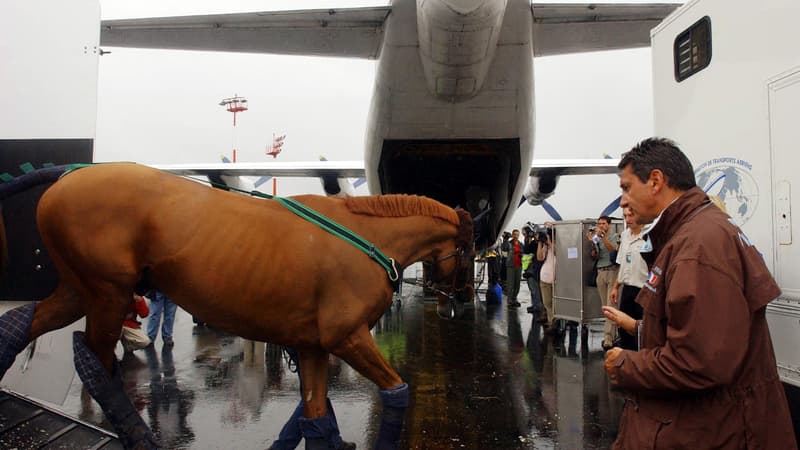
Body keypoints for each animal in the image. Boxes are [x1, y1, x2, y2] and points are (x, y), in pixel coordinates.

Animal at [0, 163, 476, 448]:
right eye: (468, 249)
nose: (457, 302)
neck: (366, 238)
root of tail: (71, 175)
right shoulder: (348, 338)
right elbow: (396, 391)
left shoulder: (313, 347)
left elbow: (314, 416)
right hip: (108, 294)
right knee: (97, 365)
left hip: (79, 290)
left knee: (24, 320)